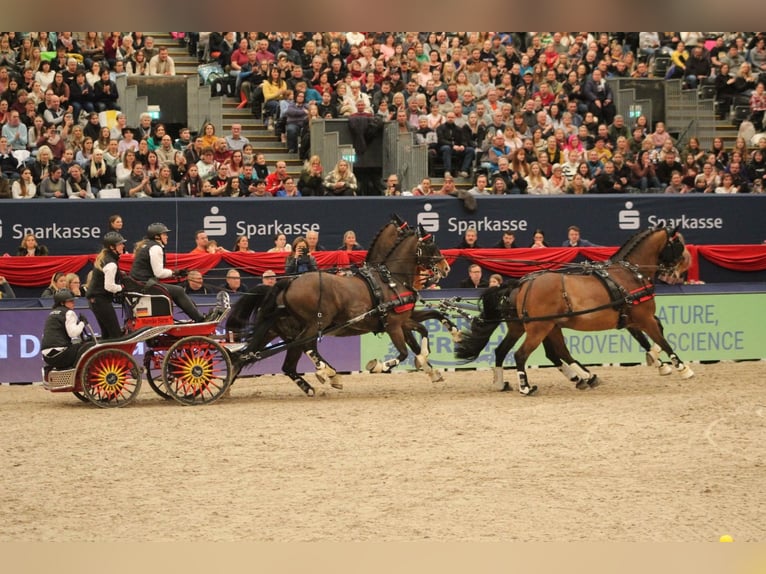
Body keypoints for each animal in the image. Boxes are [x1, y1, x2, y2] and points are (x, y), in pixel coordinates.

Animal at [234, 222, 450, 396]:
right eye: (430, 245)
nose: (445, 267)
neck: (390, 279)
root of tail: (289, 283)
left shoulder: (404, 320)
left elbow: (422, 333)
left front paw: (430, 367)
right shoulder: (394, 325)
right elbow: (404, 352)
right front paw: (378, 366)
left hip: (280, 331)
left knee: (280, 362)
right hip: (316, 322)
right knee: (307, 346)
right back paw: (329, 373)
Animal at [510, 226, 696, 396]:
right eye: (678, 244)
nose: (681, 268)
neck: (630, 274)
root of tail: (526, 284)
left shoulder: (631, 320)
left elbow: (648, 338)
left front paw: (658, 361)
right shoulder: (645, 318)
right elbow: (662, 340)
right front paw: (682, 368)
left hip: (552, 326)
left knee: (561, 351)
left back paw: (588, 377)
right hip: (539, 328)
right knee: (521, 354)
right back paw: (526, 387)